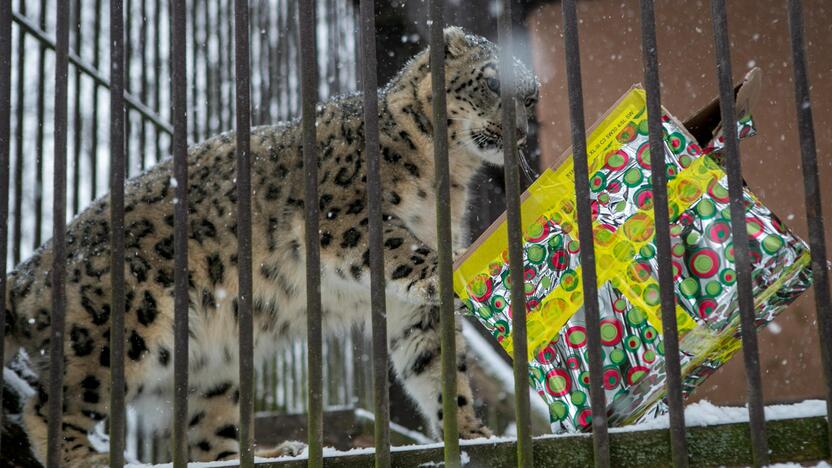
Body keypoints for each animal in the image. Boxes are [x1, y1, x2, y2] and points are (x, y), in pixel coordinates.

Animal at [1, 27, 540, 466]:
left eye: (533, 99)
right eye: (493, 83)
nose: (520, 130)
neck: (446, 178)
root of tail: (30, 267)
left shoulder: (412, 312)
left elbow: (437, 364)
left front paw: (471, 434)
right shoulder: (347, 218)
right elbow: (401, 251)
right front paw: (446, 269)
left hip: (213, 369)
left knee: (205, 435)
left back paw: (271, 451)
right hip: (121, 328)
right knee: (49, 405)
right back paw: (85, 457)